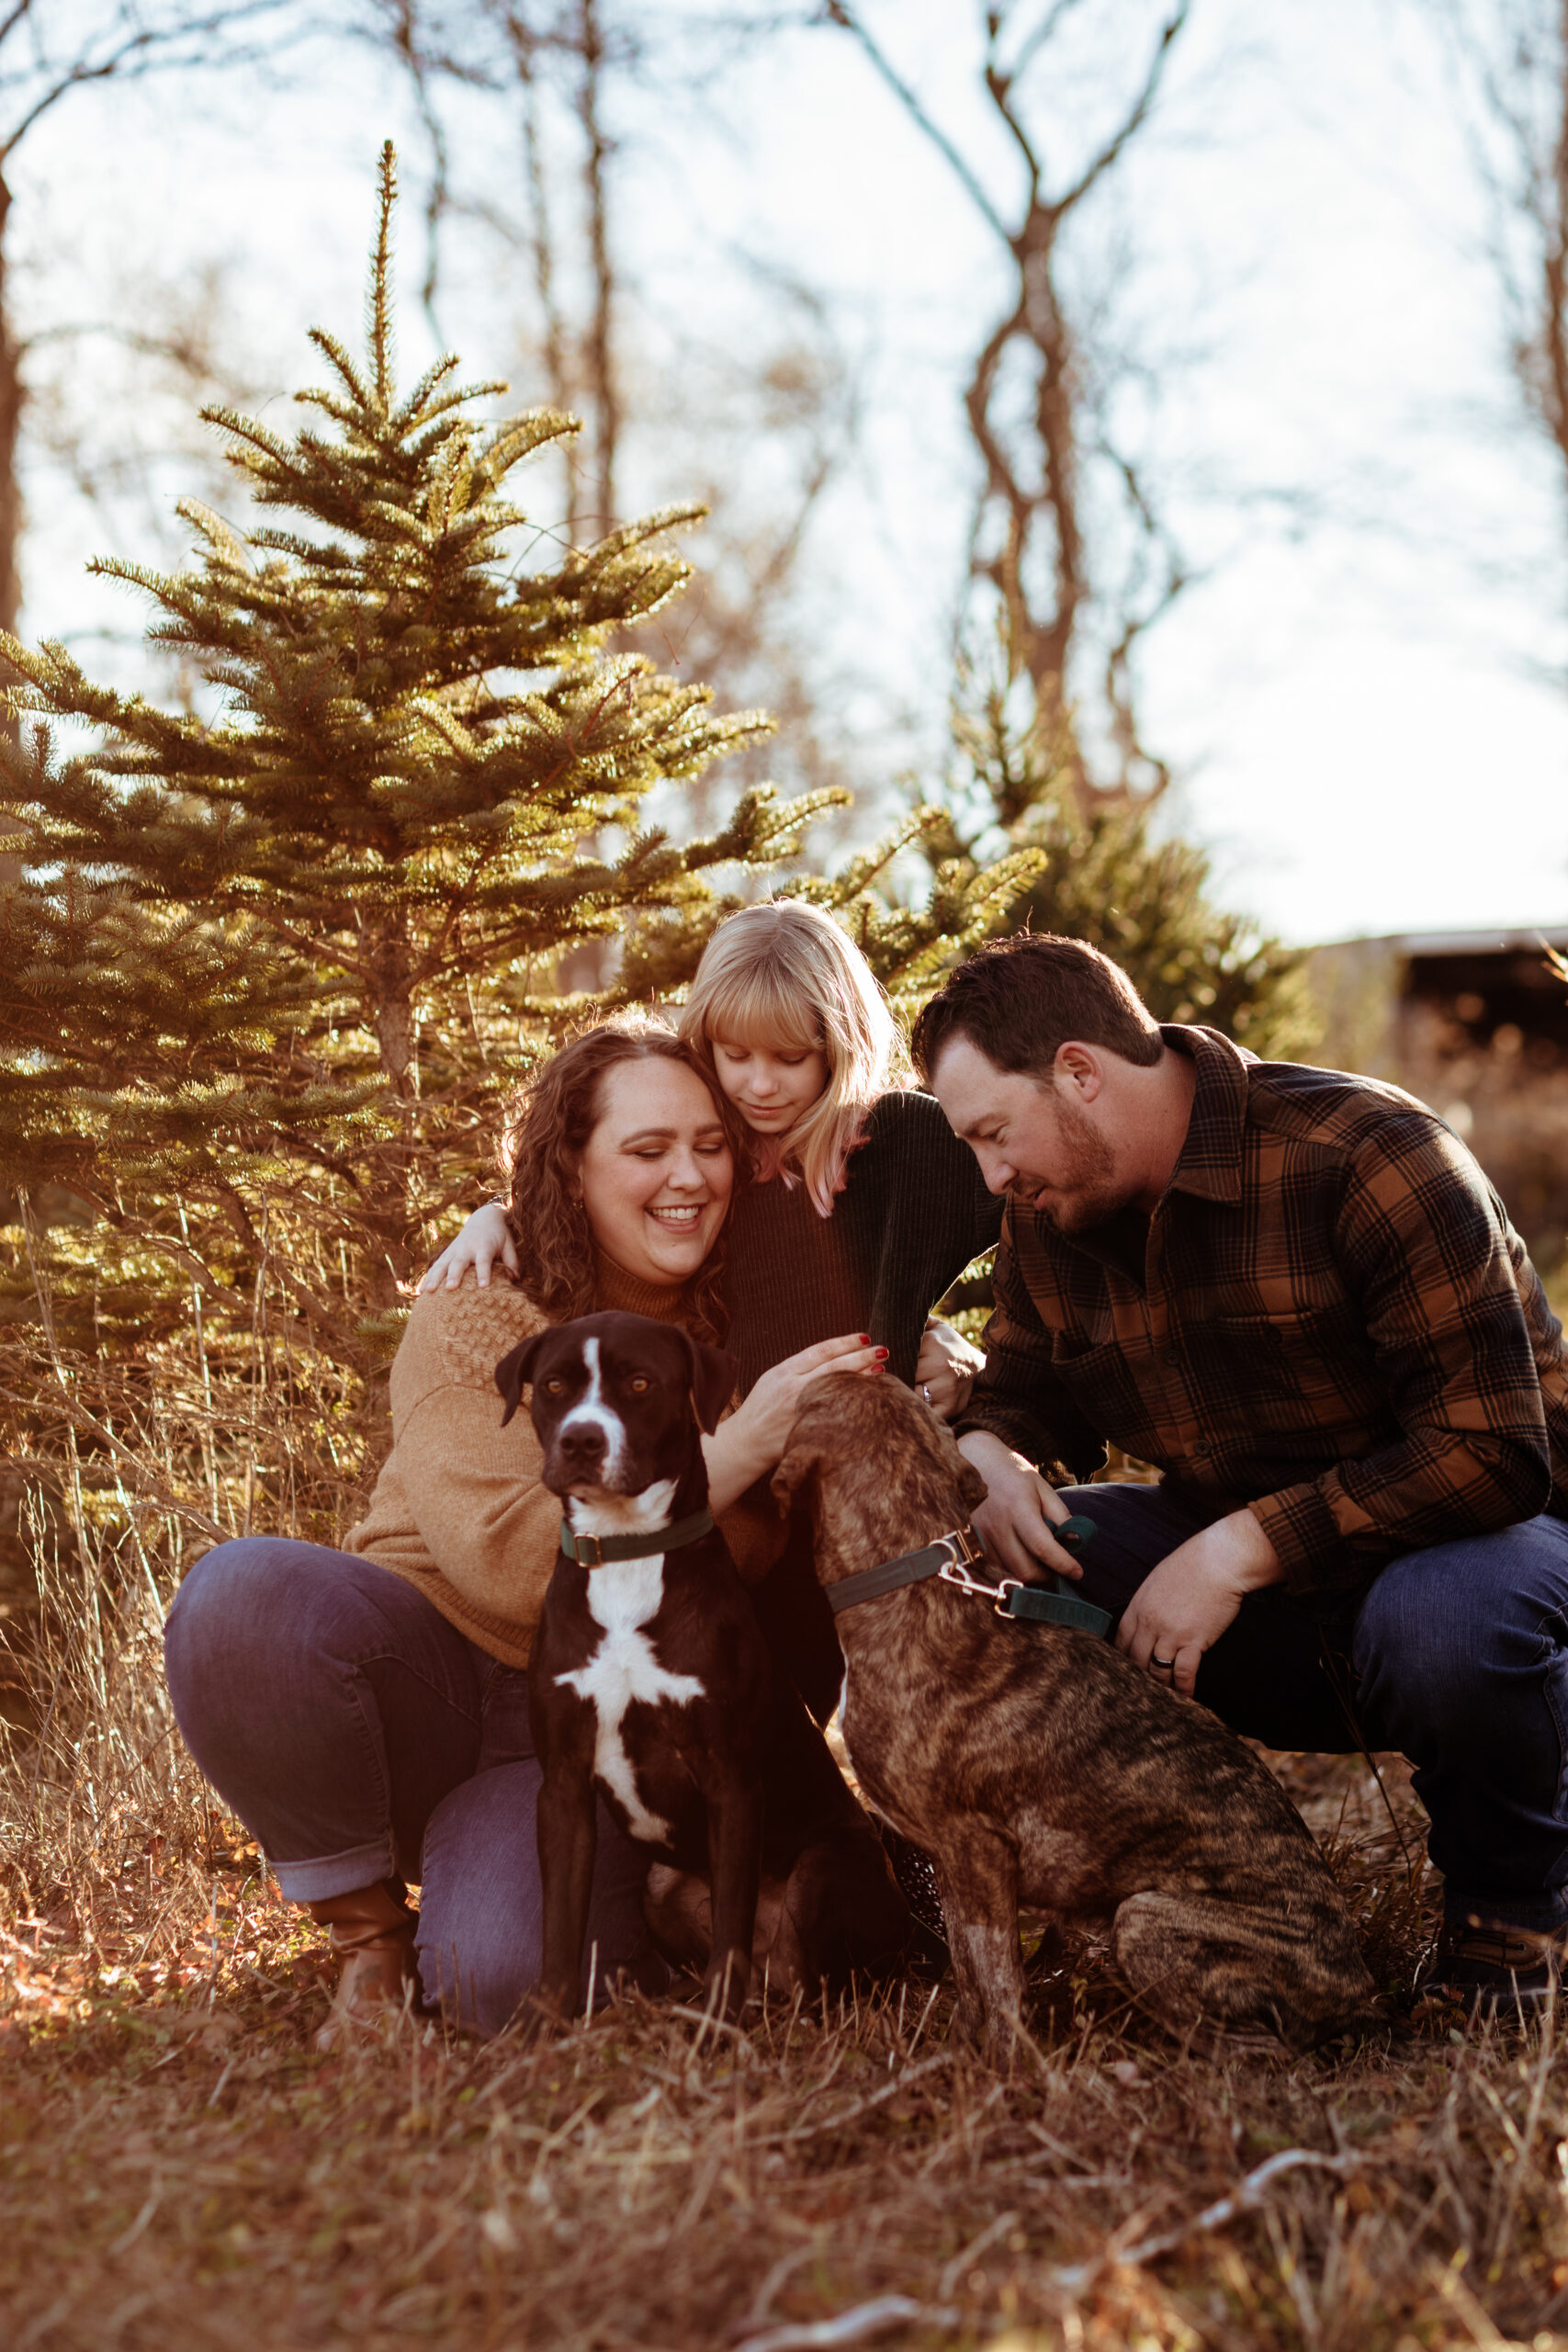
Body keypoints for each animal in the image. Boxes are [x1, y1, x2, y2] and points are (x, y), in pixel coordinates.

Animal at [495, 1307, 911, 2022]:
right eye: (553, 1386)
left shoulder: (730, 1780)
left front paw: (718, 2023)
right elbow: (560, 1925)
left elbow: (730, 1933)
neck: (628, 1556)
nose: (581, 1440)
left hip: (824, 1869)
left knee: (814, 1978)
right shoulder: (564, 1786)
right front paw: (545, 2021)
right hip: (661, 1888)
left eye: (639, 1383)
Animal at [775, 1374, 1382, 2060]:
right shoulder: (954, 1868)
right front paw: (959, 2053)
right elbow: (968, 1975)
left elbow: (996, 1981)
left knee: (1259, 2052)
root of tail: (1356, 1989)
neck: (913, 1575)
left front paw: (1004, 2069)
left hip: (1144, 1920)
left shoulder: (977, 1853)